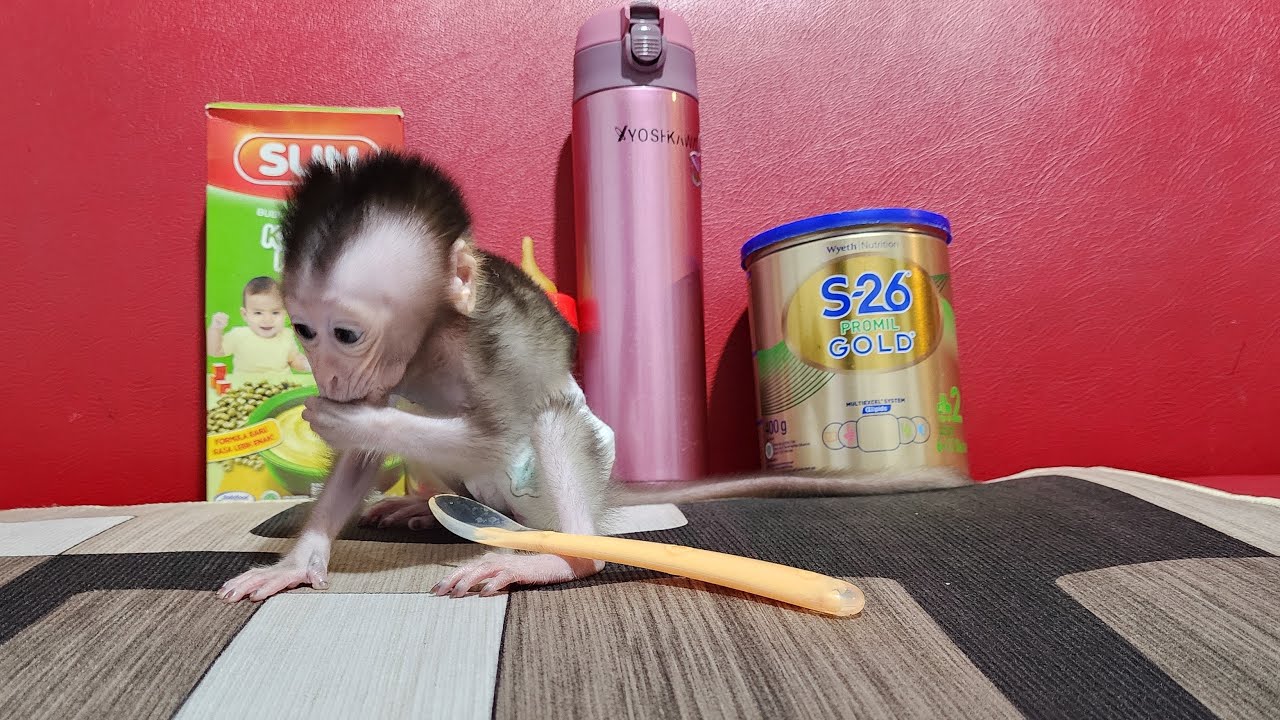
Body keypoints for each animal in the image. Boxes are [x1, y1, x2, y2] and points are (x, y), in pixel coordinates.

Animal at [216, 151, 970, 604]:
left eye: (345, 333)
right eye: (305, 331)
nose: (326, 374)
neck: (430, 336)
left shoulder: (487, 345)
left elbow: (495, 432)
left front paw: (341, 418)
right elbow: (361, 460)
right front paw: (299, 562)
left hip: (540, 501)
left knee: (550, 424)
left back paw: (557, 559)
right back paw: (420, 507)